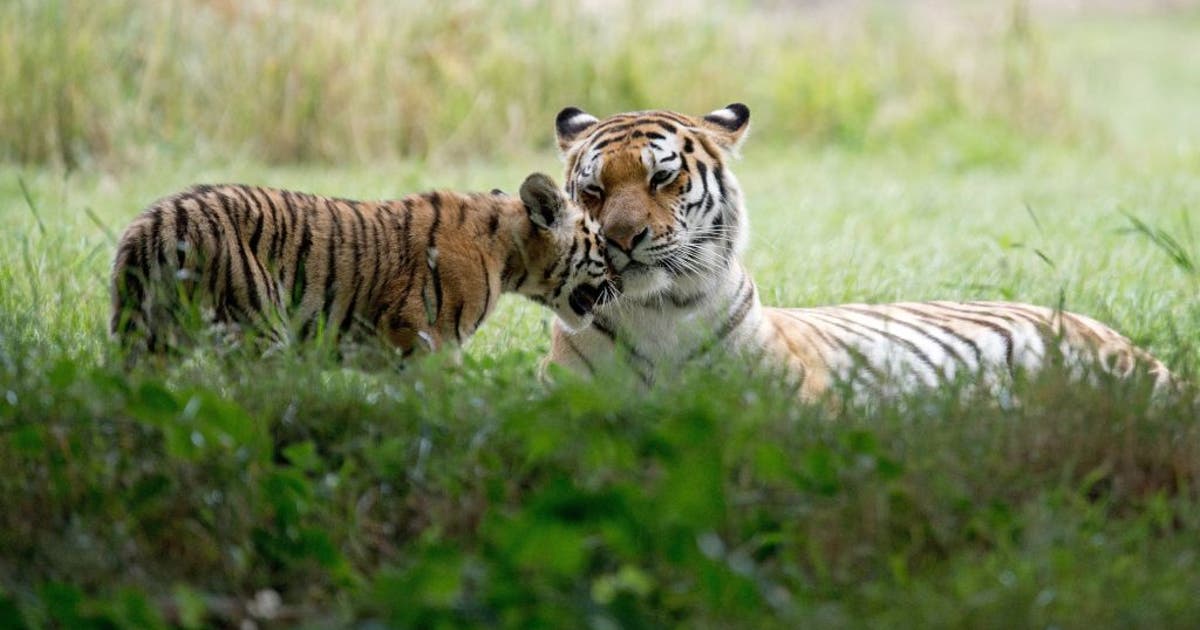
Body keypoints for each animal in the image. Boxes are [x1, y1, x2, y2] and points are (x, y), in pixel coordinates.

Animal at [110, 172, 616, 358]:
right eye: (603, 246)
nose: (621, 280)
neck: (509, 255)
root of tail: (157, 220)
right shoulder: (425, 339)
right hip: (257, 329)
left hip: (148, 338)